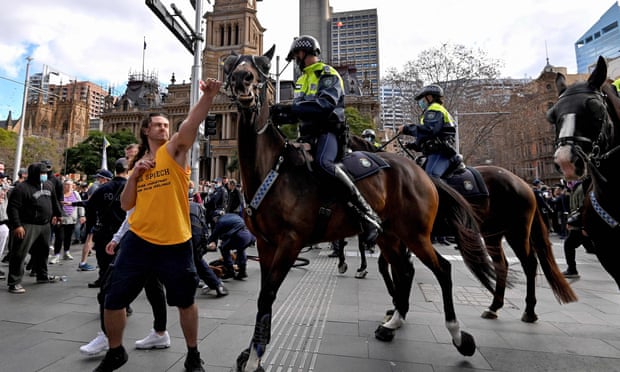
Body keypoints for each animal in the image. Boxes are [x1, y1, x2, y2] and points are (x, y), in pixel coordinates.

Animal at [225, 45, 502, 370]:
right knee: (404, 270)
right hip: (391, 236)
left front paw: (256, 355)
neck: (273, 168)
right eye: (230, 64)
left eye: (263, 66)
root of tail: (422, 173)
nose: (243, 80)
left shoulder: (290, 242)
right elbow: (263, 297)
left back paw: (459, 337)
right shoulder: (266, 244)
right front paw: (254, 350)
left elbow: (267, 294)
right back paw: (393, 323)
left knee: (442, 269)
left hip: (416, 234)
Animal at [348, 134, 576, 322]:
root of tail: (523, 184)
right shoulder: (399, 237)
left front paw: (397, 303)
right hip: (492, 233)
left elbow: (394, 267)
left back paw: (529, 311)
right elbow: (387, 266)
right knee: (502, 264)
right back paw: (494, 307)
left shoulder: (407, 236)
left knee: (529, 264)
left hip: (516, 232)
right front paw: (396, 302)